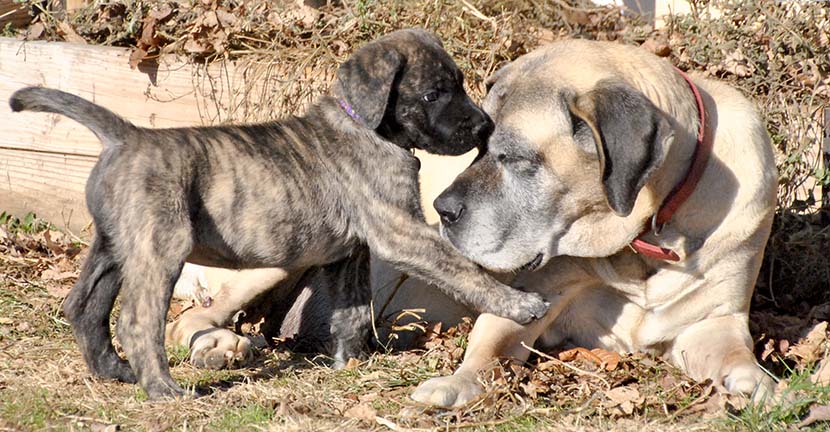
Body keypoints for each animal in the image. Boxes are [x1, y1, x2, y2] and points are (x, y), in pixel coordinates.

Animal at [9, 29, 552, 398]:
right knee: (138, 321)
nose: (483, 128)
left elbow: (352, 312)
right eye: (435, 93)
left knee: (84, 305)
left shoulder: (351, 253)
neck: (365, 124)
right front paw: (519, 303)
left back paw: (114, 372)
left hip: (114, 246)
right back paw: (164, 391)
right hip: (160, 247)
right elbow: (463, 270)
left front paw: (351, 364)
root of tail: (127, 136)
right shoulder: (400, 233)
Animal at [412, 38, 780, 406]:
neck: (644, 245)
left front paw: (761, 385)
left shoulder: (714, 319)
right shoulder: (540, 292)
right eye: (478, 146)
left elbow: (735, 353)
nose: (443, 209)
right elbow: (492, 343)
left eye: (516, 157)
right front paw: (460, 381)